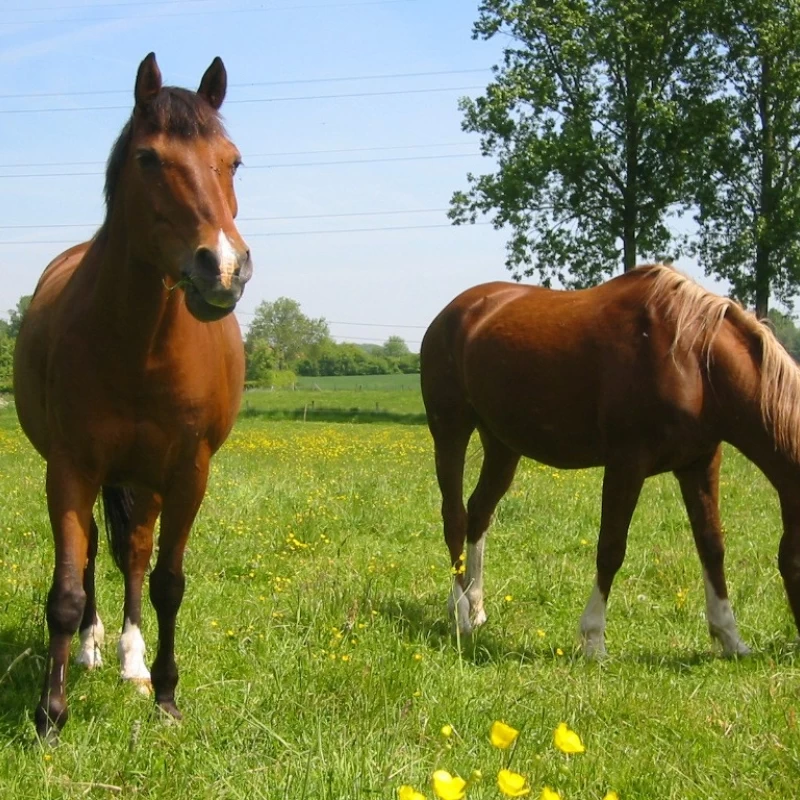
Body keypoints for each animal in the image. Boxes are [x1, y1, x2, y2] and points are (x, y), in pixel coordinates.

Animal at [14, 51, 252, 736]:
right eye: (148, 158)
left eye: (233, 161)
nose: (223, 268)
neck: (140, 347)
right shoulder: (70, 466)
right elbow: (66, 591)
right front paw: (50, 714)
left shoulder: (188, 473)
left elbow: (168, 582)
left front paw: (168, 695)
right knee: (97, 553)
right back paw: (93, 650)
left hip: (144, 481)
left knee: (135, 554)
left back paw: (132, 662)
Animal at [418, 266, 800, 660]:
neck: (694, 359)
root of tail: (453, 313)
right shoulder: (626, 463)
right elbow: (611, 548)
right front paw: (593, 640)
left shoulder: (700, 463)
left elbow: (712, 545)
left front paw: (730, 637)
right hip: (450, 429)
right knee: (455, 517)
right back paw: (461, 613)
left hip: (502, 445)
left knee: (479, 513)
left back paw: (475, 604)